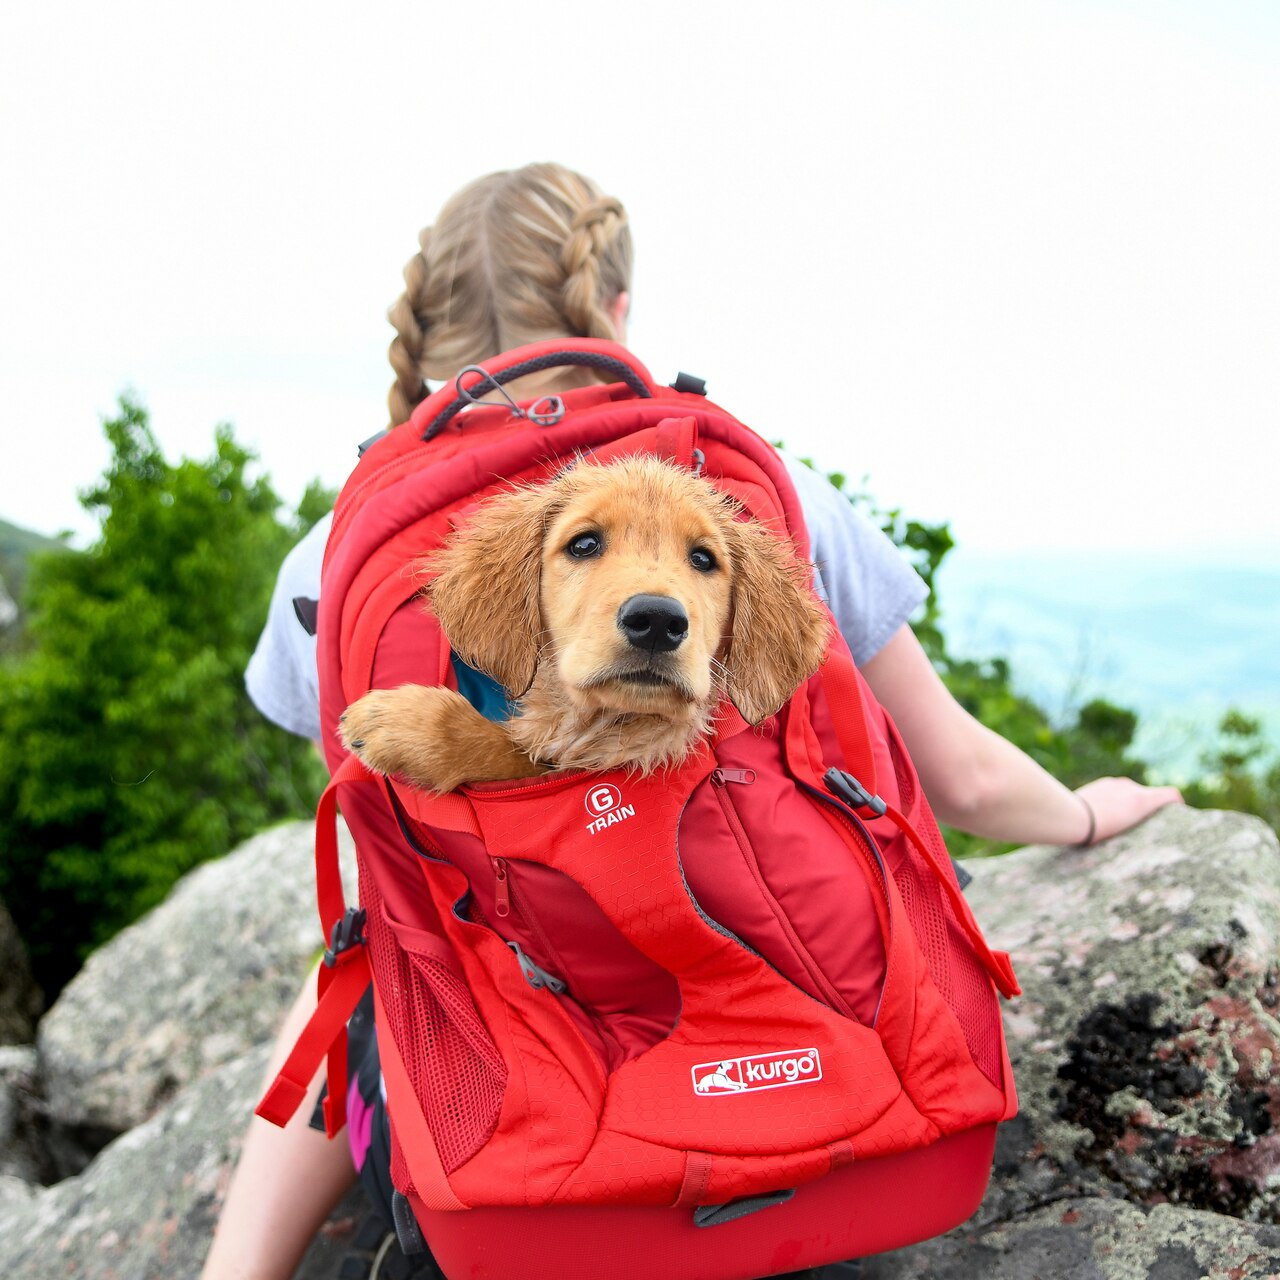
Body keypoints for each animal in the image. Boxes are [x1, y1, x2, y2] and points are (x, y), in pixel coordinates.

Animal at [337, 450, 829, 788]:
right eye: (584, 544)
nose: (656, 620)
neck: (610, 726)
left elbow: (515, 755)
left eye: (704, 559)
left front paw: (410, 723)